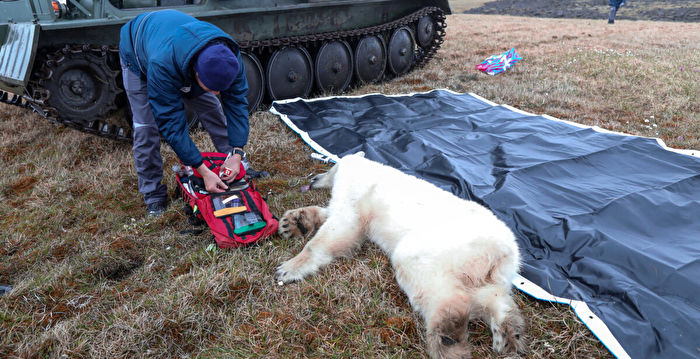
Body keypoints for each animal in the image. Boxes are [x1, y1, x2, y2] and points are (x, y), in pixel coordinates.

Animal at [276, 153, 524, 359]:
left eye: (331, 166)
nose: (314, 178)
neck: (364, 167)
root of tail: (504, 248)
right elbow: (336, 218)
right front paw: (293, 222)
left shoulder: (355, 191)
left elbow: (343, 226)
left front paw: (287, 268)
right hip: (484, 265)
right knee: (488, 293)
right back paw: (507, 334)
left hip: (448, 241)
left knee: (426, 276)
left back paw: (447, 337)